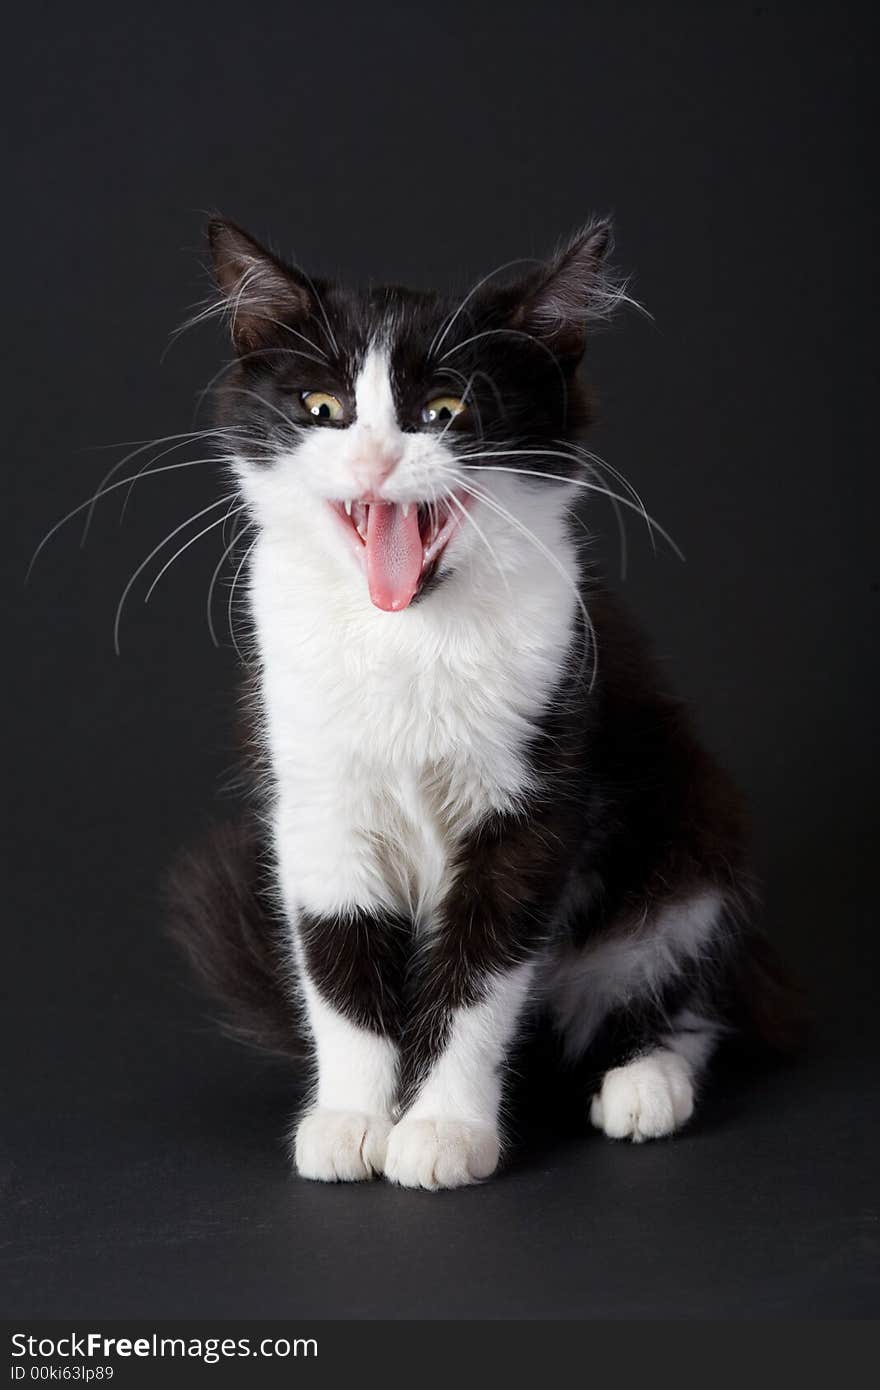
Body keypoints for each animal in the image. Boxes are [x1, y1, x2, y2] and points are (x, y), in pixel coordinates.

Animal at [168, 214, 795, 1184]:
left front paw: (442, 1129)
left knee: (682, 985)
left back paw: (646, 1078)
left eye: (444, 413)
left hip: (695, 832)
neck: (404, 637)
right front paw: (352, 1117)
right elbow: (338, 960)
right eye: (322, 409)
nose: (377, 456)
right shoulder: (314, 794)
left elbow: (480, 969)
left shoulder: (537, 792)